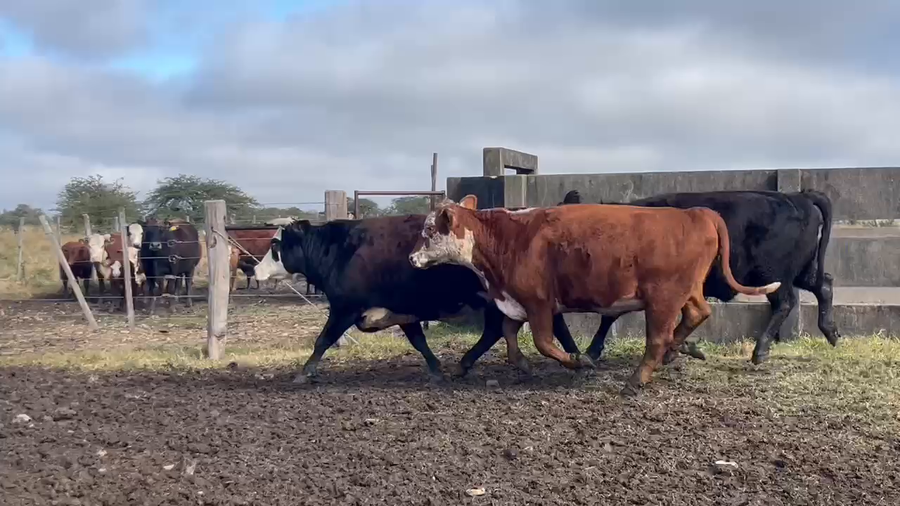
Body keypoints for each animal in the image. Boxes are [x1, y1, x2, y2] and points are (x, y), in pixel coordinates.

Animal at [252, 215, 583, 384]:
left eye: (275, 245)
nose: (255, 269)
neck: (341, 250)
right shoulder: (402, 311)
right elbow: (419, 341)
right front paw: (436, 368)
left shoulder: (345, 308)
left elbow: (323, 339)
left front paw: (305, 372)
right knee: (496, 331)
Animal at [408, 195, 780, 395]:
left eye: (428, 230)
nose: (411, 259)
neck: (507, 238)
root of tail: (697, 213)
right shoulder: (517, 302)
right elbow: (510, 336)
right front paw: (525, 364)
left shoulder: (539, 303)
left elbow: (543, 342)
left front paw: (579, 361)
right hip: (687, 291)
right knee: (698, 313)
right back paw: (678, 349)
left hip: (662, 299)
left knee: (658, 338)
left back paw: (638, 378)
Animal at [557, 189, 839, 365]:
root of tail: (798, 196)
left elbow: (610, 317)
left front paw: (592, 351)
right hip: (800, 271)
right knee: (823, 284)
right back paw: (831, 332)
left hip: (773, 274)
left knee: (786, 303)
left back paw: (760, 350)